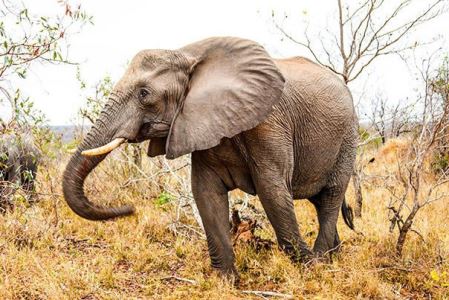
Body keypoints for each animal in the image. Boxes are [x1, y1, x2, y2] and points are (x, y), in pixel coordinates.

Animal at [62, 36, 356, 278]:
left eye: (144, 94)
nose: (130, 209)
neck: (187, 54)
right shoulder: (200, 122)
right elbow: (206, 192)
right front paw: (225, 280)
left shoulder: (269, 122)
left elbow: (272, 190)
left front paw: (307, 268)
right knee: (320, 201)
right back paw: (333, 257)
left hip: (348, 137)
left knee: (331, 195)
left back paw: (321, 261)